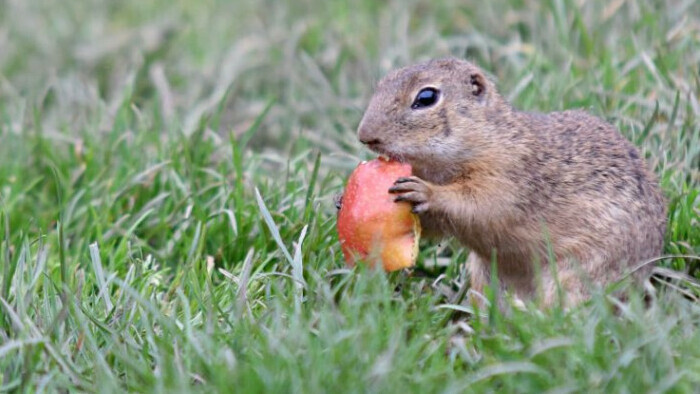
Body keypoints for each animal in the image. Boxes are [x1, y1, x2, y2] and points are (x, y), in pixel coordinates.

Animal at [356, 57, 668, 306]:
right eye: (382, 83)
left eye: (426, 97)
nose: (365, 135)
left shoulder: (507, 177)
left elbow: (481, 207)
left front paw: (426, 192)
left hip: (577, 273)